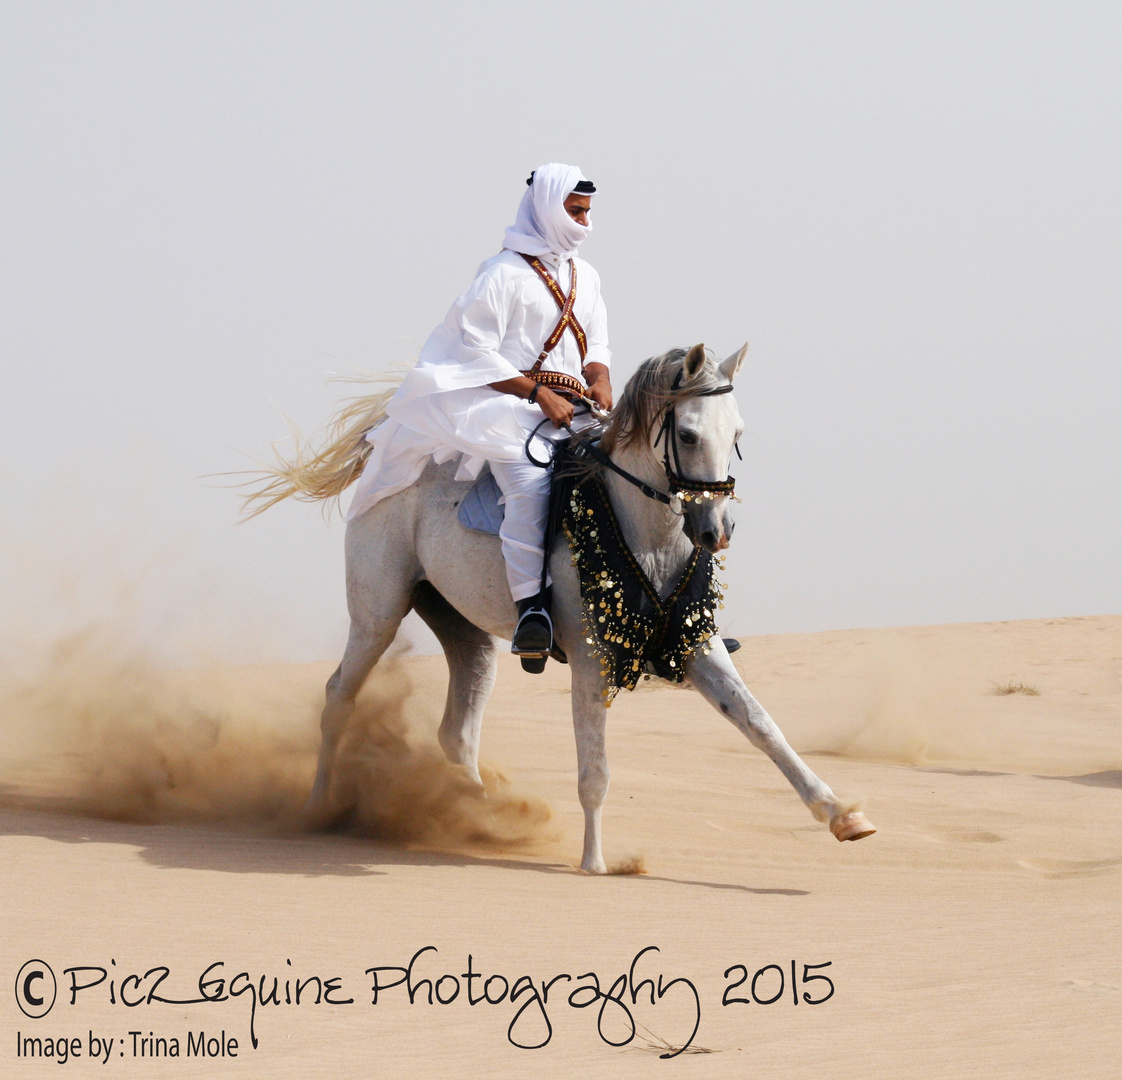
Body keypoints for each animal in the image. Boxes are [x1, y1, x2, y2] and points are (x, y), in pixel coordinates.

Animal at [260, 343, 866, 870]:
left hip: (466, 632)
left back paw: (482, 817)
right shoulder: (591, 659)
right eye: (689, 435)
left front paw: (841, 814)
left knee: (458, 732)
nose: (716, 531)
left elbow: (762, 725)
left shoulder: (697, 645)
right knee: (339, 697)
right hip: (378, 613)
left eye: (737, 434)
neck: (646, 535)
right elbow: (594, 769)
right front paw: (595, 862)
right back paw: (320, 809)